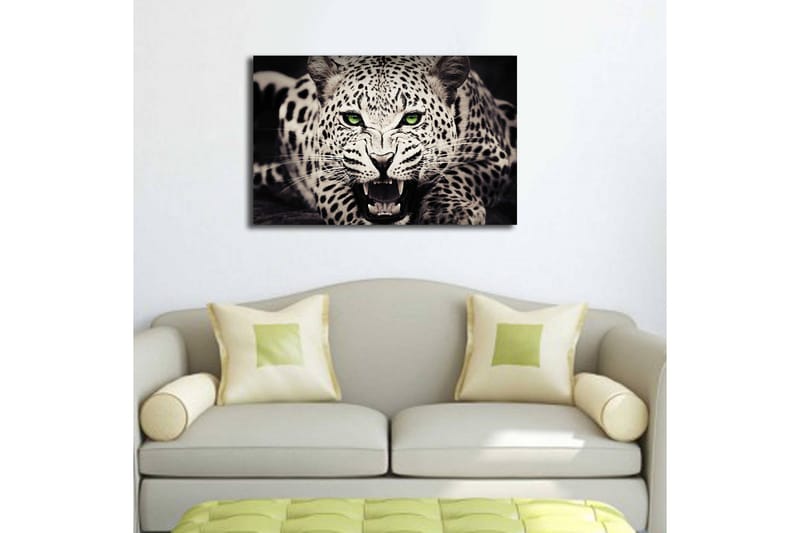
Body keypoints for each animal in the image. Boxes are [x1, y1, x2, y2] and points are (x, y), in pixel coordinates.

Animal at [253, 56, 516, 225]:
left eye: (411, 118)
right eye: (352, 119)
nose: (381, 160)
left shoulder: (493, 157)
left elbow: (458, 175)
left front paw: (450, 213)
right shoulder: (325, 172)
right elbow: (341, 202)